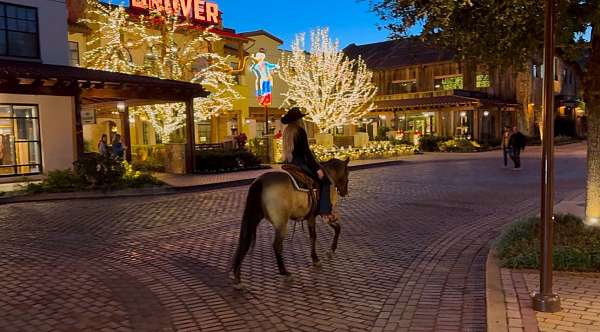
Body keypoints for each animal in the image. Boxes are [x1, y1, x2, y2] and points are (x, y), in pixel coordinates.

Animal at [231, 158, 352, 288]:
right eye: (347, 174)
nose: (345, 192)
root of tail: (260, 181)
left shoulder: (313, 216)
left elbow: (328, 231)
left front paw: (326, 253)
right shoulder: (322, 214)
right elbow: (320, 234)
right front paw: (320, 257)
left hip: (255, 217)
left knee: (244, 242)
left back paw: (237, 277)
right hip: (281, 224)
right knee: (277, 245)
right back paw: (285, 272)